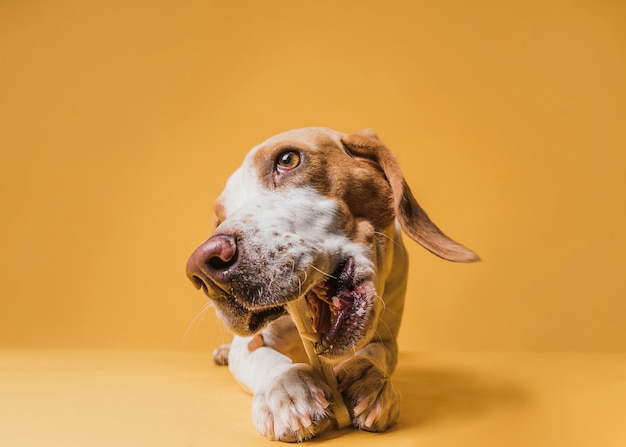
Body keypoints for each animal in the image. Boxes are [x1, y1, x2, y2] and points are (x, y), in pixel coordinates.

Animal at [185, 128, 478, 442]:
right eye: (219, 220)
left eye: (288, 159)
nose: (203, 269)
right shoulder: (249, 346)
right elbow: (264, 359)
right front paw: (288, 389)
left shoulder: (387, 336)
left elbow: (379, 353)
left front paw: (369, 379)